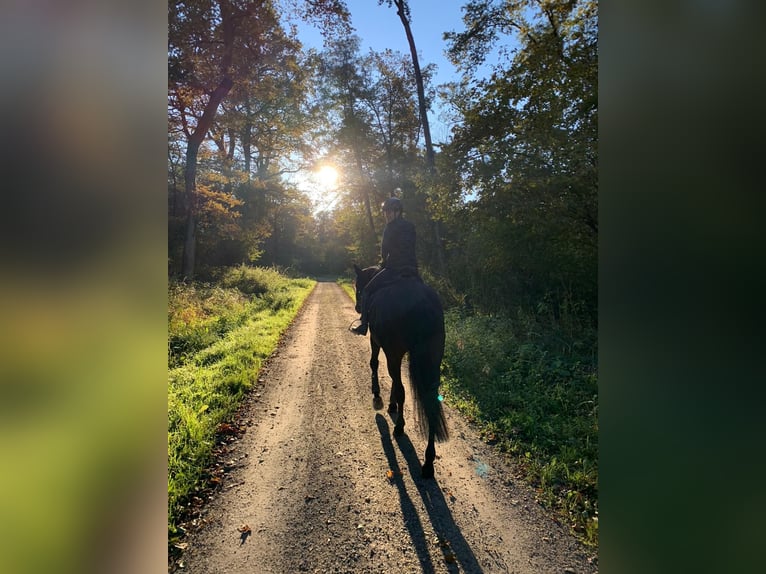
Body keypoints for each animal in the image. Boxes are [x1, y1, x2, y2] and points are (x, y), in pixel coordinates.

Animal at [354, 264, 450, 476]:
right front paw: (391, 405)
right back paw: (428, 461)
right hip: (432, 359)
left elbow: (374, 364)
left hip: (394, 352)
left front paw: (378, 396)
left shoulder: (377, 341)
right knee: (430, 400)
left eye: (357, 284)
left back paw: (399, 427)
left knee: (401, 389)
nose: (357, 307)